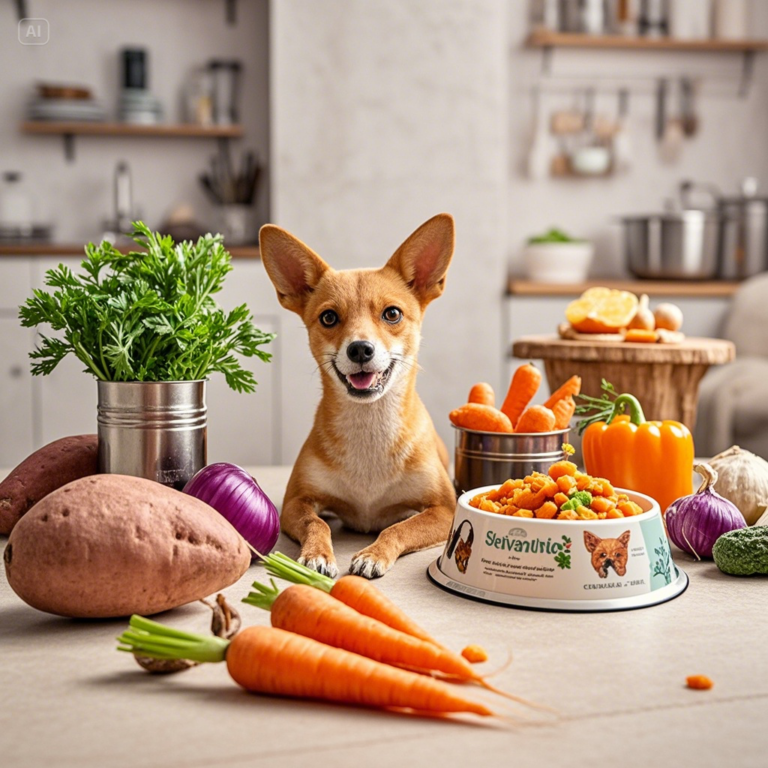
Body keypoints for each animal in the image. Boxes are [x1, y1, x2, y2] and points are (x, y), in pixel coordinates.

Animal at [260, 213, 460, 580]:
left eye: (392, 314)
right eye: (328, 317)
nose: (360, 349)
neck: (369, 430)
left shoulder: (443, 509)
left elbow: (398, 527)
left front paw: (373, 554)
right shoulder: (296, 502)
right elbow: (317, 524)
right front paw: (318, 554)